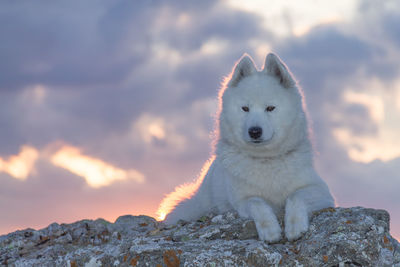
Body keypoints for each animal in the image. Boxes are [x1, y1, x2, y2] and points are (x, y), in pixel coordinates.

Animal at [157, 52, 334, 243]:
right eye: (245, 109)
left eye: (270, 108)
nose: (254, 131)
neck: (265, 160)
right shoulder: (241, 200)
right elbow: (256, 202)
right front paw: (270, 230)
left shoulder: (321, 191)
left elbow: (295, 196)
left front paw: (295, 226)